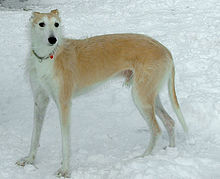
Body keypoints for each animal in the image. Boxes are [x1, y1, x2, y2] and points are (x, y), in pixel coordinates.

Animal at [16, 9, 187, 178]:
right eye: (41, 24)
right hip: (150, 95)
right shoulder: (40, 100)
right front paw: (29, 160)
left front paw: (64, 170)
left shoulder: (64, 103)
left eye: (56, 24)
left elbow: (65, 141)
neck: (47, 56)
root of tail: (165, 50)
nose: (53, 39)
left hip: (141, 97)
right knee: (170, 122)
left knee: (156, 130)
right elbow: (34, 135)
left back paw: (143, 158)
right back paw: (171, 150)